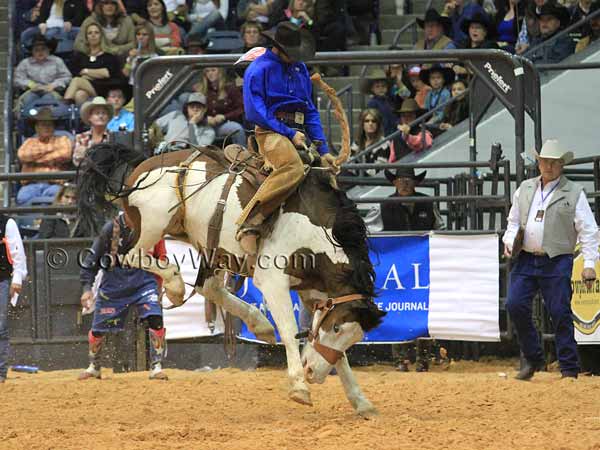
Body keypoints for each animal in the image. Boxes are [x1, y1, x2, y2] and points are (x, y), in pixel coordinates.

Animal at [76, 74, 384, 418]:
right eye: (337, 329)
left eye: (352, 335)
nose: (313, 374)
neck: (316, 225)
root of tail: (142, 164)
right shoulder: (273, 280)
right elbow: (290, 330)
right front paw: (299, 387)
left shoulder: (315, 291)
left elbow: (330, 351)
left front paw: (361, 401)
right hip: (153, 224)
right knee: (133, 255)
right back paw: (175, 287)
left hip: (210, 247)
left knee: (208, 287)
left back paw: (259, 324)